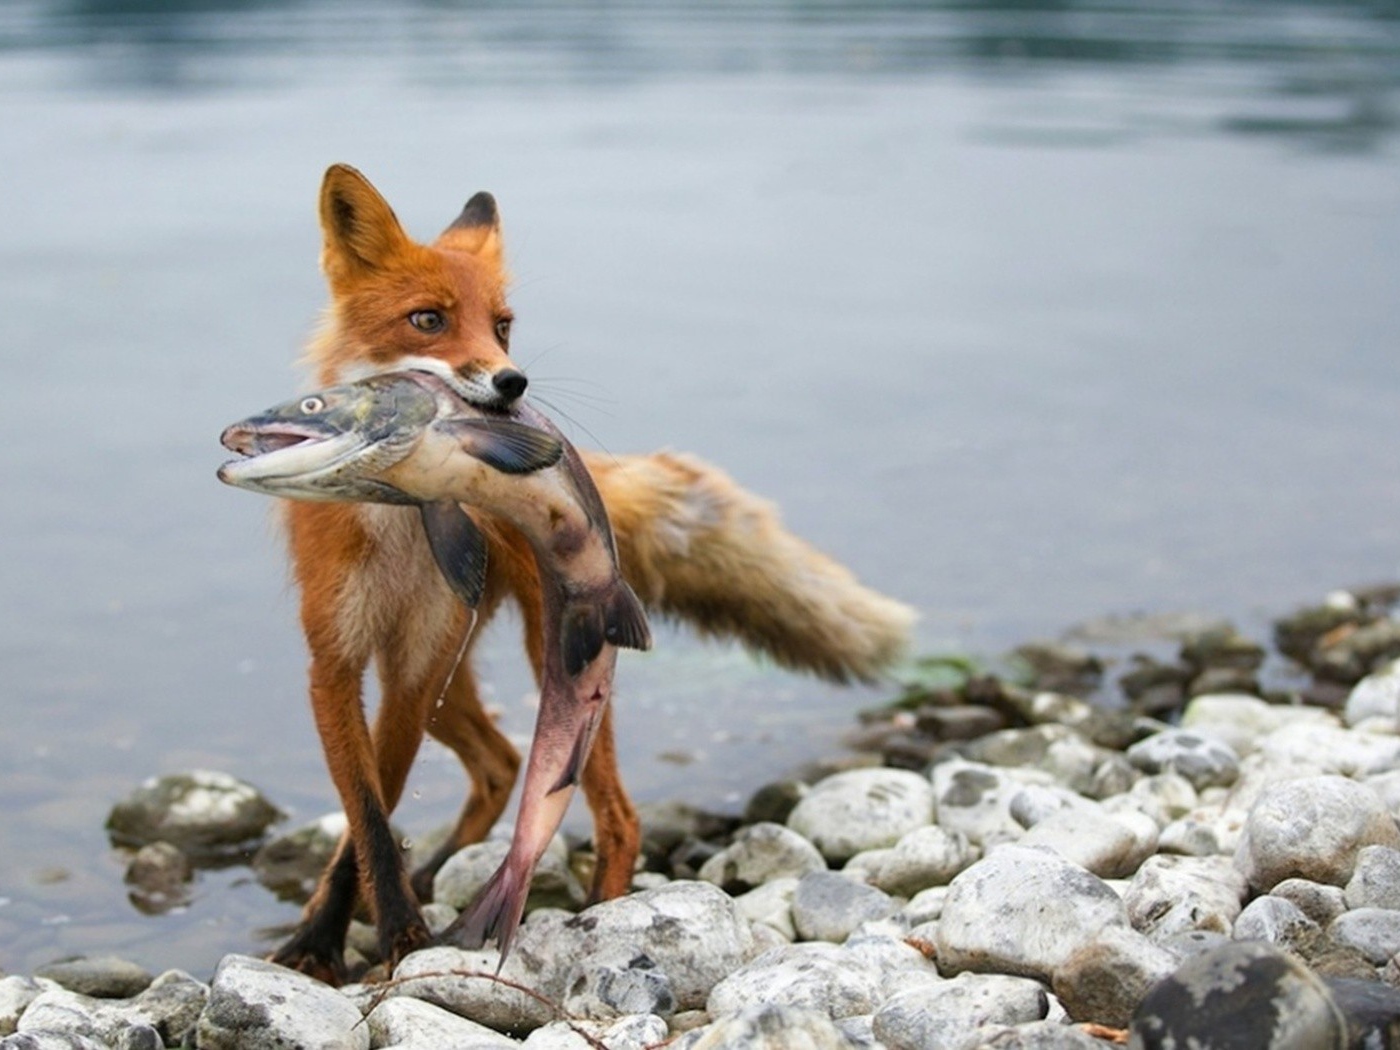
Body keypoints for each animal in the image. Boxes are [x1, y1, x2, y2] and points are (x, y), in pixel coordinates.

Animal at [263, 164, 918, 985]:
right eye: (428, 319)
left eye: (502, 325)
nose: (511, 384)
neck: (398, 526)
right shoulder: (339, 663)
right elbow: (368, 815)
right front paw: (334, 937)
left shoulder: (409, 670)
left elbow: (365, 823)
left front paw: (394, 940)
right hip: (455, 678)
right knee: (500, 764)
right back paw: (441, 874)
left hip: (551, 665)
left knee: (615, 816)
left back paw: (601, 917)